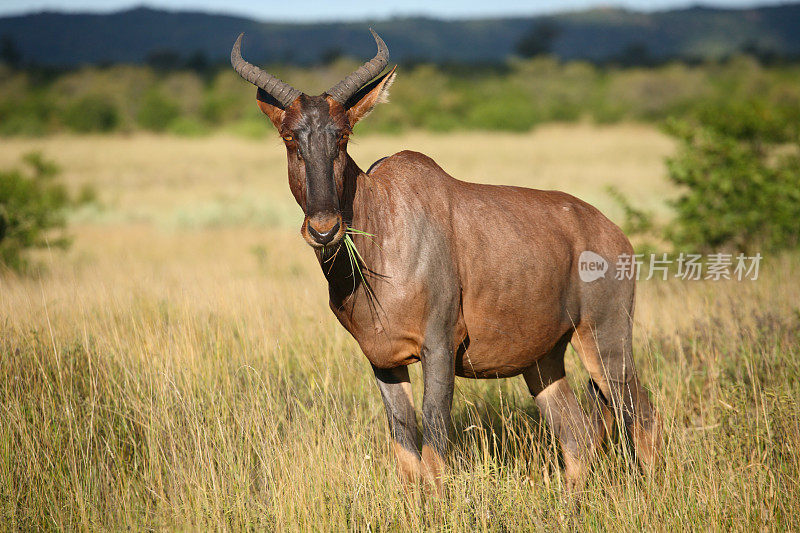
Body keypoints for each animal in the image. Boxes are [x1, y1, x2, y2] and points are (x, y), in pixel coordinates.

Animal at [231, 31, 664, 492]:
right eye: (289, 136)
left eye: (343, 135)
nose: (324, 228)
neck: (386, 219)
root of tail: (613, 232)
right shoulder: (383, 361)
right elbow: (406, 453)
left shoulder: (439, 346)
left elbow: (435, 449)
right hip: (544, 358)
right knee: (576, 433)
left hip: (605, 338)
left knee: (641, 413)